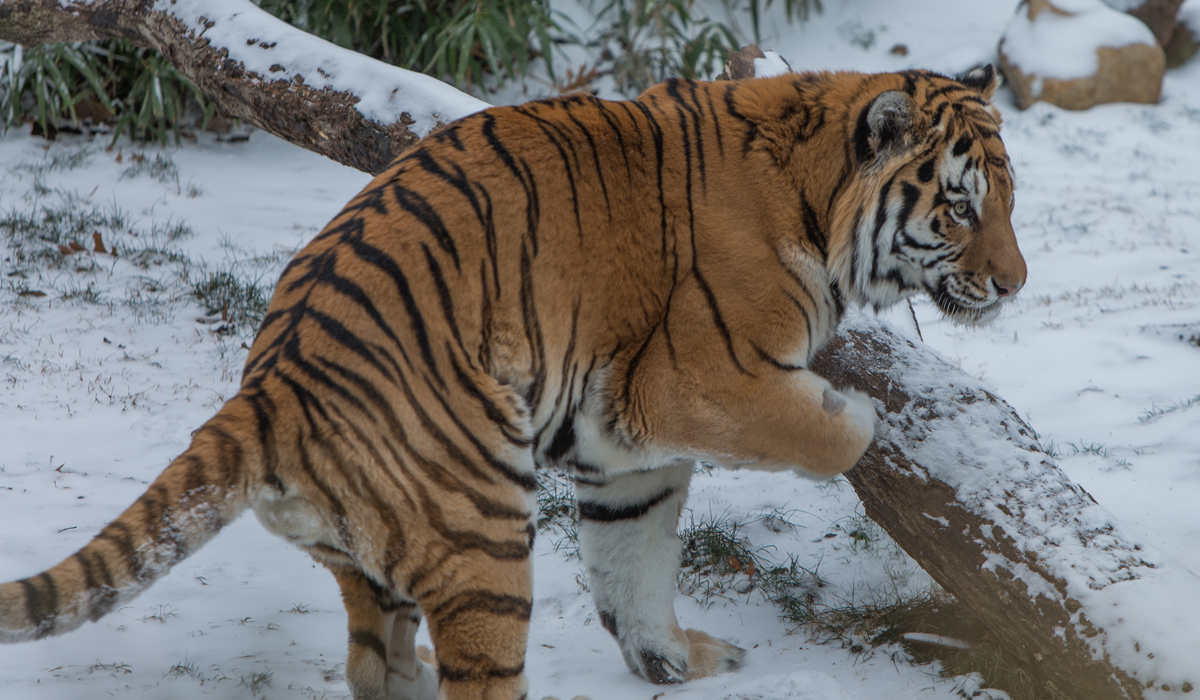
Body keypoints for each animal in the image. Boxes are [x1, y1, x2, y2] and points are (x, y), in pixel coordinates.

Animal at [2, 63, 1022, 696]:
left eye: (1009, 202)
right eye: (960, 207)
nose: (1016, 285)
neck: (817, 196)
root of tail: (268, 387)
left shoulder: (624, 441)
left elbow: (632, 561)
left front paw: (670, 661)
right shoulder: (695, 379)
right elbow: (827, 429)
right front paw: (859, 412)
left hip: (370, 560)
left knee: (373, 664)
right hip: (483, 529)